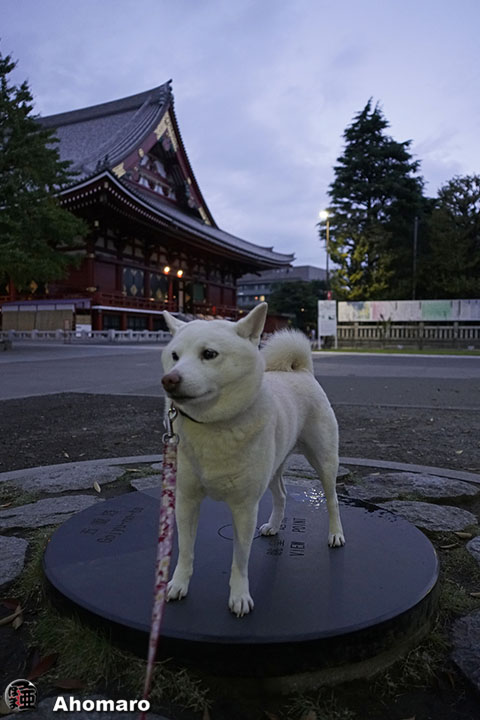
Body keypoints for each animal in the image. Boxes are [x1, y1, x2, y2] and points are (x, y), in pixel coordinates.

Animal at [161, 306, 344, 620]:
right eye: (174, 355)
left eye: (209, 354)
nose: (169, 379)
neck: (213, 425)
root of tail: (301, 370)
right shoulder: (186, 499)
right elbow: (185, 549)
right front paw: (178, 583)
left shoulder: (244, 507)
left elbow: (240, 558)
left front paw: (239, 596)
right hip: (273, 467)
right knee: (281, 495)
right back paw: (274, 525)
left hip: (323, 460)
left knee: (332, 499)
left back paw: (335, 533)